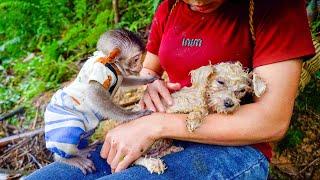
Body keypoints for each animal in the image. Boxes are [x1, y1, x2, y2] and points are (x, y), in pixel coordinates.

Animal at [44, 28, 156, 174]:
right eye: (136, 59)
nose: (141, 65)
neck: (112, 63)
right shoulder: (102, 71)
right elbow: (94, 95)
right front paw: (132, 115)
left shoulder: (119, 74)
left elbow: (124, 81)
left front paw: (147, 79)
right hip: (61, 121)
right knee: (69, 132)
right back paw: (70, 158)